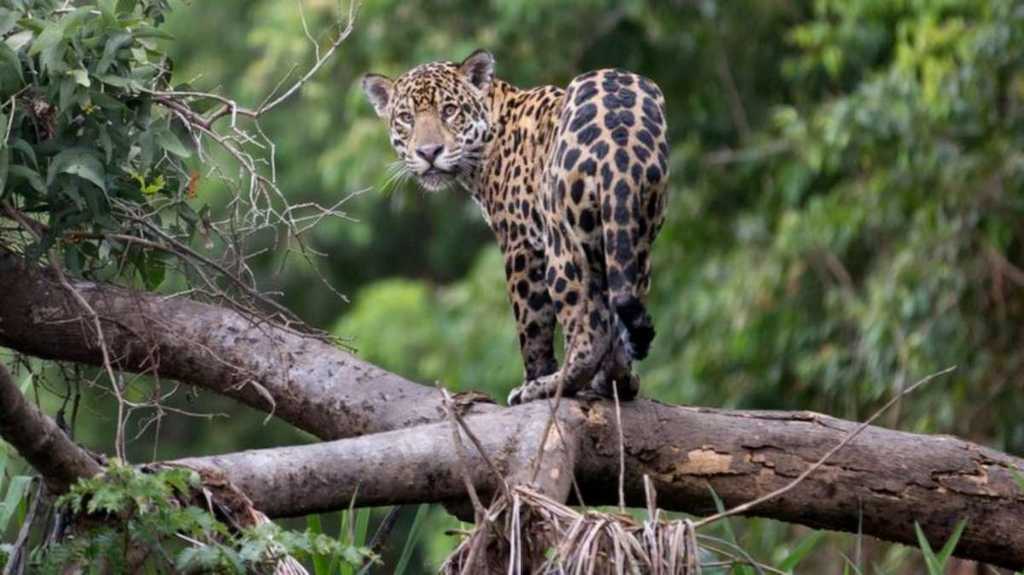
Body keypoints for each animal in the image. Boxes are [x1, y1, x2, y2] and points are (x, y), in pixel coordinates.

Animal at [362, 50, 669, 405]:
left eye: (449, 111)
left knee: (588, 332)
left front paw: (532, 378)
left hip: (563, 245)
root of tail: (621, 138)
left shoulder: (521, 245)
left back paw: (550, 385)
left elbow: (531, 327)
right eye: (406, 118)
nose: (428, 152)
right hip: (633, 238)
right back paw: (617, 380)